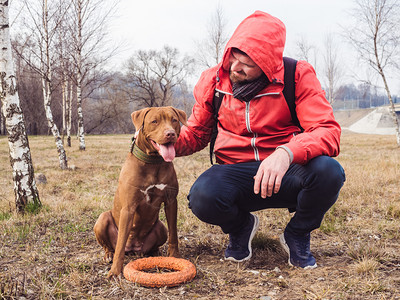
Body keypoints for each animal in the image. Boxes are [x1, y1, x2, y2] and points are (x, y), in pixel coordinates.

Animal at [94, 106, 188, 278]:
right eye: (154, 121)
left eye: (174, 120)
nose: (170, 133)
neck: (153, 162)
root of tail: (134, 249)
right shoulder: (128, 208)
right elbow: (120, 244)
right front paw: (115, 271)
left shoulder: (171, 202)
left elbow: (174, 234)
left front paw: (174, 257)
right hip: (103, 219)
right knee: (111, 246)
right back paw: (109, 255)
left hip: (160, 228)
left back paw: (156, 253)